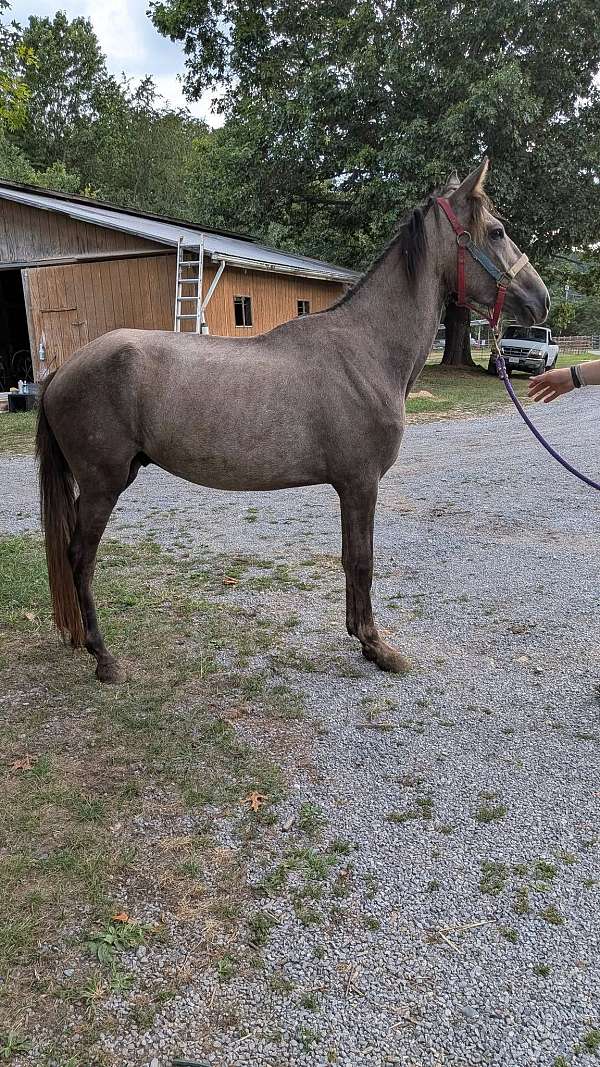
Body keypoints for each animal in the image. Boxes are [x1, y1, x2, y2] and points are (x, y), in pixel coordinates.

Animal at [35, 159, 549, 683]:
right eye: (497, 231)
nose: (541, 300)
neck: (366, 350)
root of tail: (62, 371)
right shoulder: (360, 483)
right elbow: (361, 561)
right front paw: (377, 647)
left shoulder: (350, 486)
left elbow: (349, 558)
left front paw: (361, 638)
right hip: (102, 485)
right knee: (80, 557)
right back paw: (103, 657)